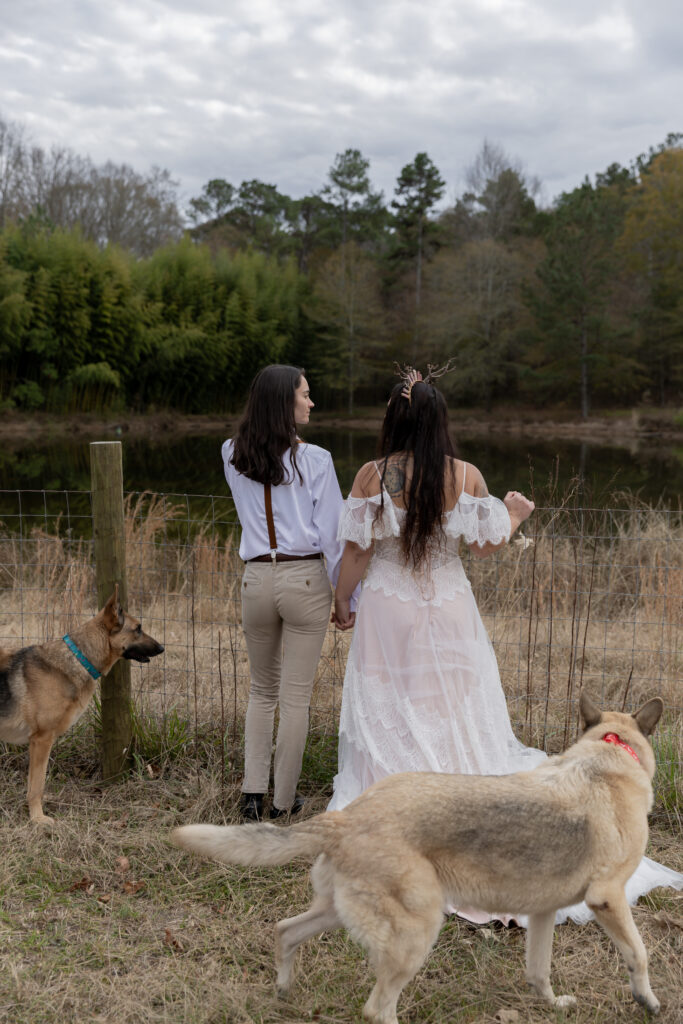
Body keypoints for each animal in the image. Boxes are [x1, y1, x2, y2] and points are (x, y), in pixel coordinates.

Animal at [0, 585, 163, 823]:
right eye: (138, 629)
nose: (162, 648)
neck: (79, 658)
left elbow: (33, 784)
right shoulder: (41, 740)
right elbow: (37, 785)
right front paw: (38, 819)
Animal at [172, 696, 667, 1024]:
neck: (610, 752)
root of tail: (347, 817)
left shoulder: (543, 913)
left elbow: (539, 971)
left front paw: (552, 1006)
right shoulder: (607, 899)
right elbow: (639, 955)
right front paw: (648, 1002)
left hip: (338, 913)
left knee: (285, 931)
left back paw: (283, 992)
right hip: (417, 931)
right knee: (376, 1009)